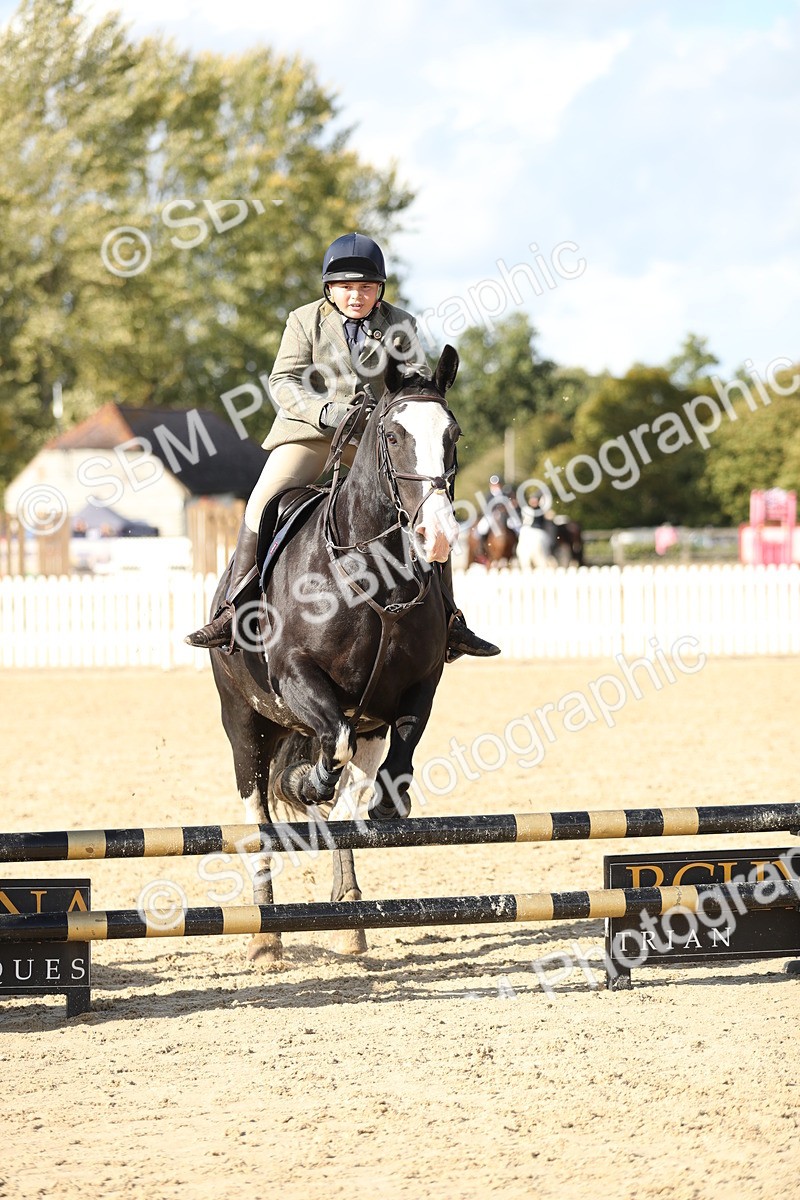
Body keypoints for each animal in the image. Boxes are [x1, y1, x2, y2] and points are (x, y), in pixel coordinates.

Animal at [209, 346, 462, 964]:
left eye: (454, 435)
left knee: (346, 806)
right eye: (392, 435)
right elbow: (331, 749)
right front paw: (310, 781)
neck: (372, 574)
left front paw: (384, 801)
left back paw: (350, 918)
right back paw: (266, 937)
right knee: (258, 820)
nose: (439, 536)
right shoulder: (296, 677)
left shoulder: (415, 687)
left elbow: (392, 764)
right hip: (243, 722)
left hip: (360, 722)